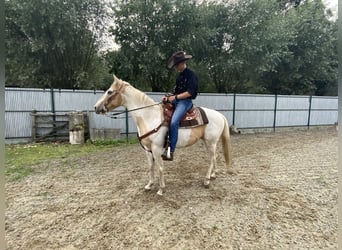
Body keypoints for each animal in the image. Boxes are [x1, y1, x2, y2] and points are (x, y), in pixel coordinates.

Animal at [93, 75, 234, 196]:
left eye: (109, 92)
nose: (95, 107)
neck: (149, 116)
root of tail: (220, 115)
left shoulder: (156, 149)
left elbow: (160, 167)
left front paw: (161, 189)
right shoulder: (147, 150)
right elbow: (151, 167)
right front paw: (149, 185)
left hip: (211, 142)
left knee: (211, 158)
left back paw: (206, 180)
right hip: (208, 142)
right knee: (215, 157)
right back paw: (213, 175)